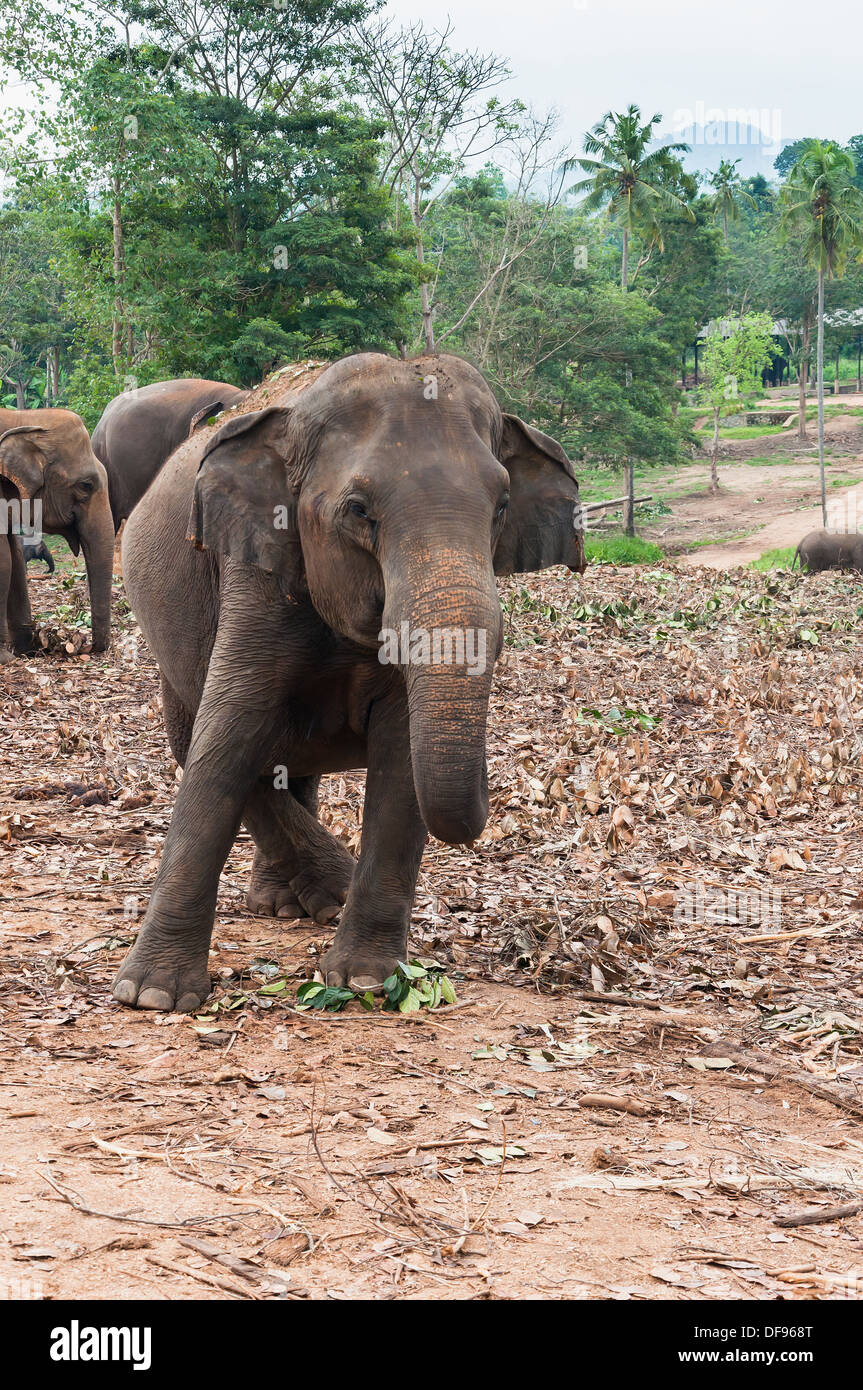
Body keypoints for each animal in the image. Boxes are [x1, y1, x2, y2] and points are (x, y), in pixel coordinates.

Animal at [1, 409, 114, 663]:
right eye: (86, 485)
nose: (88, 646)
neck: (23, 418)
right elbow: (3, 561)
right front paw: (7, 658)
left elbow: (14, 559)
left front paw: (27, 650)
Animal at [112, 352, 585, 1012]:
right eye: (359, 510)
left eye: (500, 507)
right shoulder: (255, 575)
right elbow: (228, 741)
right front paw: (152, 995)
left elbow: (400, 758)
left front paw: (363, 979)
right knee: (199, 742)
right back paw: (302, 899)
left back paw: (294, 904)